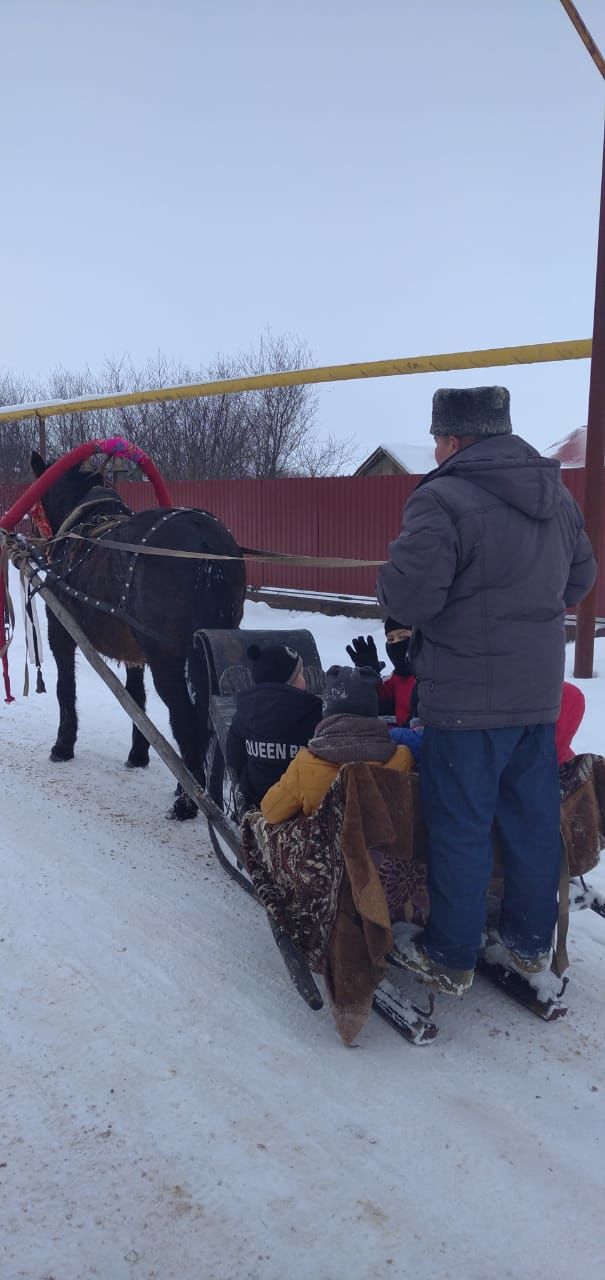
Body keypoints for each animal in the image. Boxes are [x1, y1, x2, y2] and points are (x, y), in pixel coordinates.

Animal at [29, 450, 246, 819]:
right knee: (210, 722)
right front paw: (138, 755)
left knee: (186, 720)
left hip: (167, 658)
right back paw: (206, 794)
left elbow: (64, 688)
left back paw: (188, 800)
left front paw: (63, 746)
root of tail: (205, 543)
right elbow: (137, 699)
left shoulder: (61, 631)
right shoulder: (134, 651)